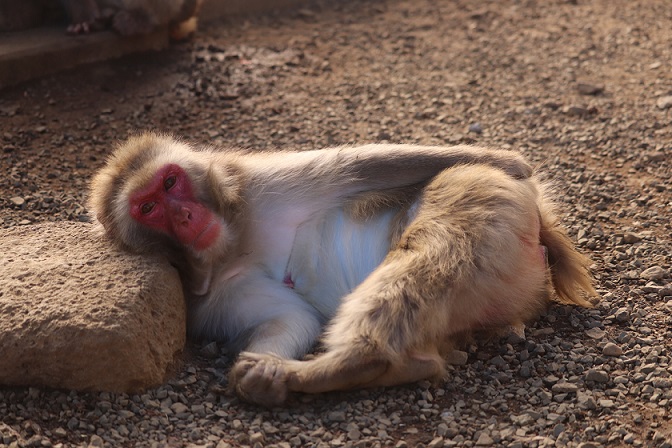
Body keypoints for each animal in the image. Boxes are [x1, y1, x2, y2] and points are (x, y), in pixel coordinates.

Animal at [88, 133, 592, 406]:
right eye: (149, 208)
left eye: (171, 182)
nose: (186, 216)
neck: (235, 245)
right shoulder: (206, 298)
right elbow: (291, 318)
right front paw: (264, 370)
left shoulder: (260, 188)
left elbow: (359, 168)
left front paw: (512, 159)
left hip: (485, 195)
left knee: (431, 245)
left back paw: (354, 361)